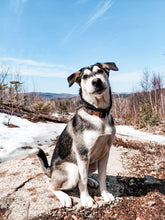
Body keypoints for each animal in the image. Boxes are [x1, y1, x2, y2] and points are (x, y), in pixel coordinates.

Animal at [37, 62, 118, 208]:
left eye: (100, 71)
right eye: (85, 76)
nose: (96, 81)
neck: (98, 114)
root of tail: (51, 170)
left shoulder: (105, 153)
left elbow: (102, 177)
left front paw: (105, 194)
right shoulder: (83, 154)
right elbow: (82, 180)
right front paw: (85, 198)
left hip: (92, 163)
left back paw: (92, 181)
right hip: (72, 169)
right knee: (52, 186)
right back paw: (64, 197)